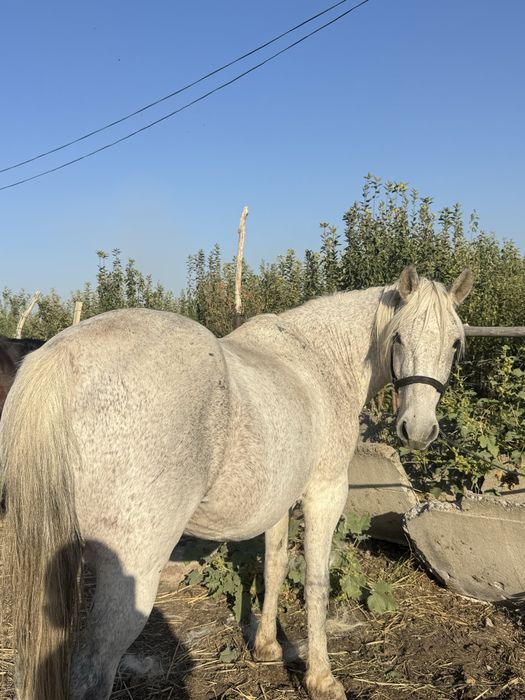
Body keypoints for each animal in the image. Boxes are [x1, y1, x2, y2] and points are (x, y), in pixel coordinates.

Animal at [0, 265, 473, 700]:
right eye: (399, 338)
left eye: (454, 343)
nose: (418, 429)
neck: (319, 362)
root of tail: (61, 356)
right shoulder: (325, 493)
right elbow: (316, 582)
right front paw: (322, 680)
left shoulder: (279, 499)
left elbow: (275, 565)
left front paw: (265, 646)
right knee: (92, 671)